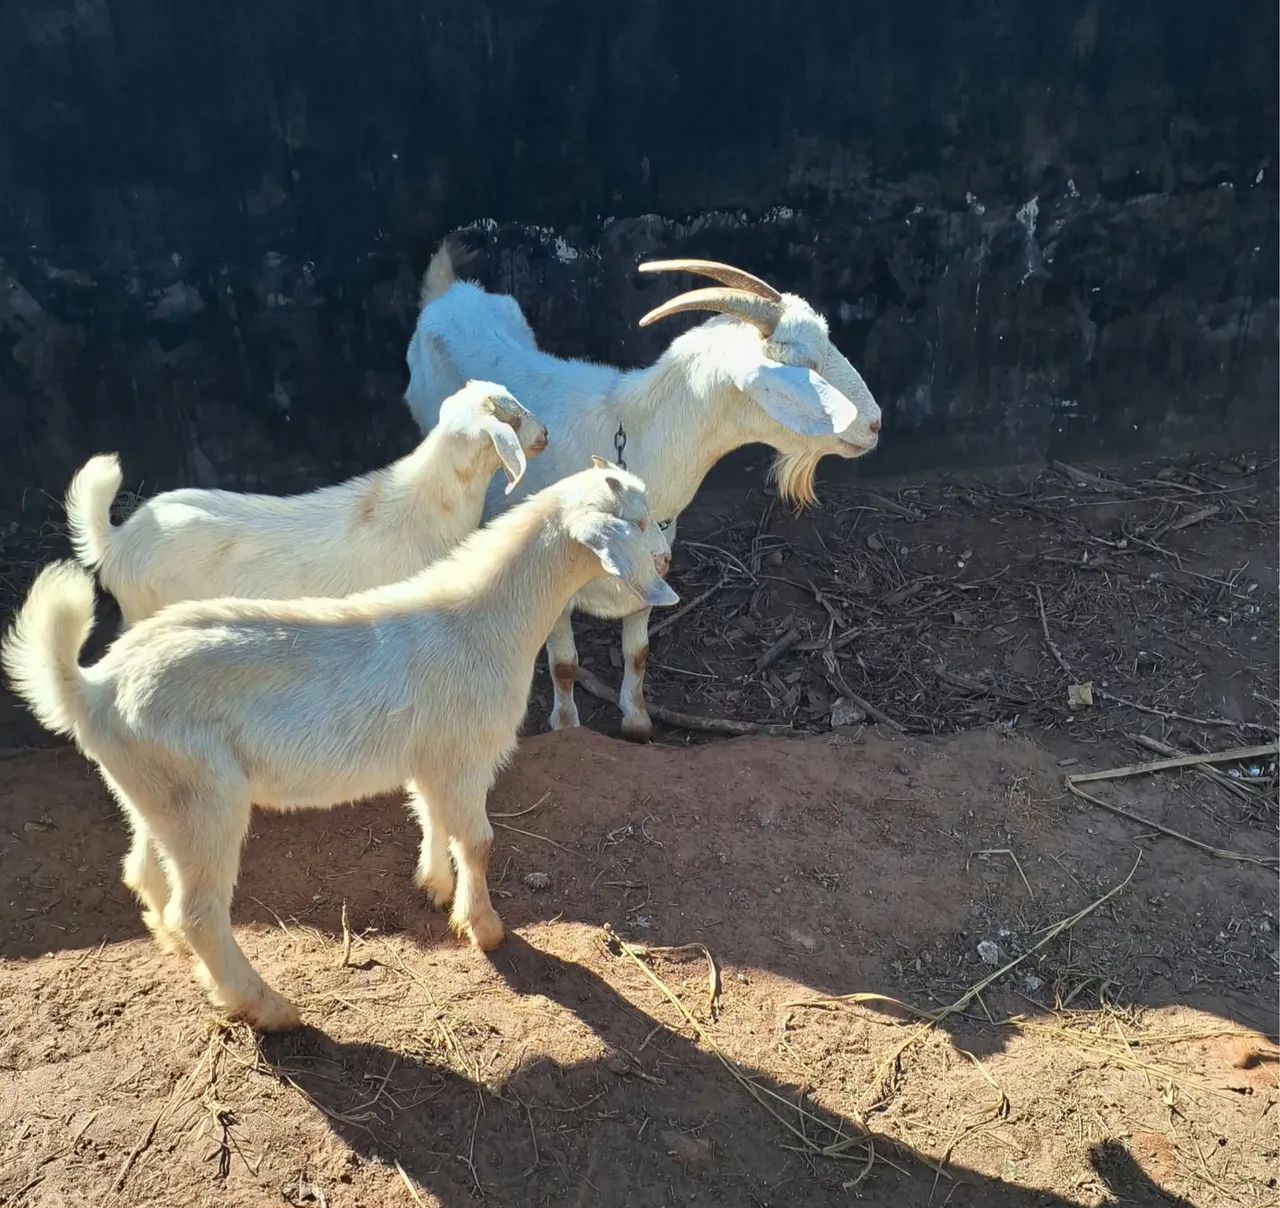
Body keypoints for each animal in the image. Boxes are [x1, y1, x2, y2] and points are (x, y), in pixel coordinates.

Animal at [2, 460, 677, 1030]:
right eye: (640, 521)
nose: (668, 561)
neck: (482, 619)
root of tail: (92, 687)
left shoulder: (432, 757)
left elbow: (431, 816)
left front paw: (434, 887)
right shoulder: (464, 754)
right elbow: (479, 841)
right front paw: (485, 928)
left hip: (157, 791)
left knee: (145, 872)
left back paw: (182, 954)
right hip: (205, 798)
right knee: (200, 911)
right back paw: (267, 1007)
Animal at [406, 246, 882, 740]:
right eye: (806, 365)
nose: (874, 424)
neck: (631, 435)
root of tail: (450, 293)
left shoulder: (652, 565)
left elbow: (638, 653)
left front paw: (638, 724)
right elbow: (565, 664)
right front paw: (567, 729)